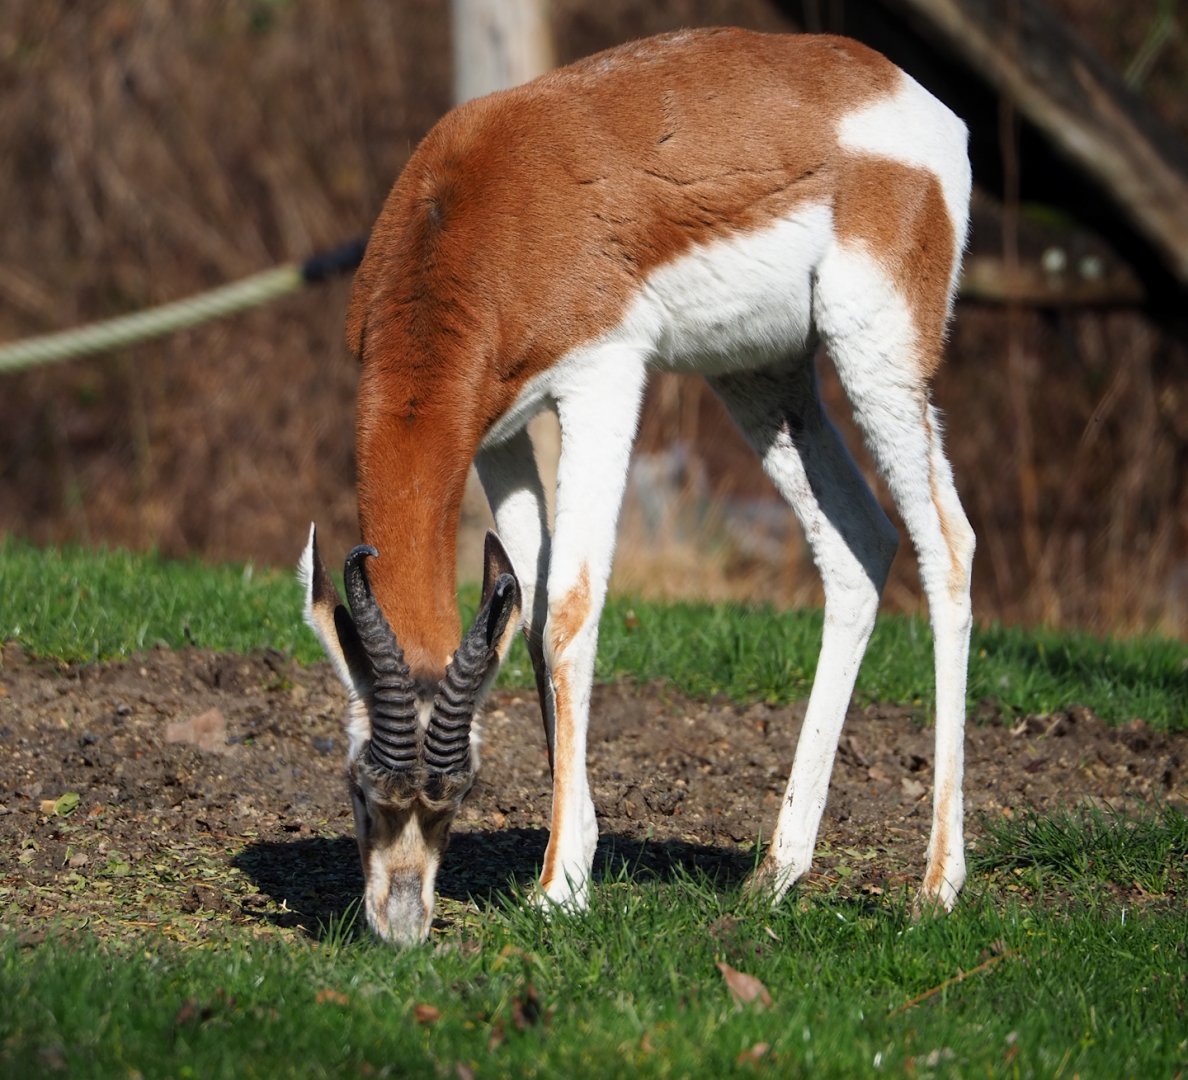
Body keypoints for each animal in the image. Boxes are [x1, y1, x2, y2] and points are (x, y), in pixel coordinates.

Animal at [301, 27, 974, 946]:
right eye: (363, 790)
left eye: (457, 793)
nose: (401, 927)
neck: (472, 209)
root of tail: (917, 101)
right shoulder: (498, 430)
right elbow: (531, 606)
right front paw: (574, 850)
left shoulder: (602, 379)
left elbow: (570, 608)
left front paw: (557, 887)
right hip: (762, 376)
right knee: (860, 544)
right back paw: (777, 872)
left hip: (879, 352)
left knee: (947, 545)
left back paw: (936, 888)